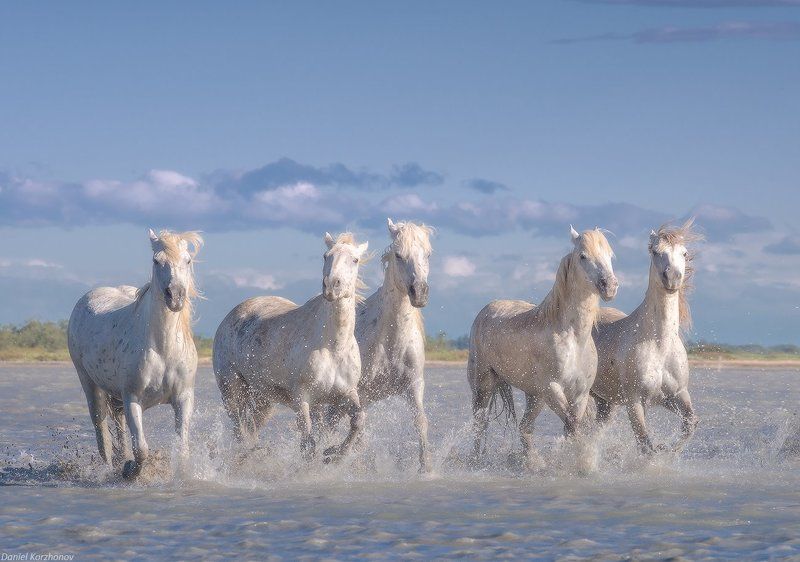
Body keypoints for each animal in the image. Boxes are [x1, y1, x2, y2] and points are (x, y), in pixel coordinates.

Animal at [68, 229, 203, 479]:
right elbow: (141, 449)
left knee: (118, 426)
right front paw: (131, 471)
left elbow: (182, 447)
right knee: (102, 434)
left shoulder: (183, 397)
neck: (163, 348)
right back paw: (112, 467)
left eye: (188, 260)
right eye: (156, 260)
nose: (175, 296)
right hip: (90, 384)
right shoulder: (133, 398)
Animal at [213, 232, 369, 464]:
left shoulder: (346, 393)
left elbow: (358, 419)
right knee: (240, 431)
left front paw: (334, 454)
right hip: (231, 391)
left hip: (262, 397)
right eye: (326, 256)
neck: (332, 346)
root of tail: (230, 316)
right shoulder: (301, 398)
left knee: (251, 428)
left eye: (355, 260)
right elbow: (308, 445)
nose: (331, 286)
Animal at [468, 226, 618, 470]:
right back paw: (476, 460)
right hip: (484, 385)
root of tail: (486, 310)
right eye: (583, 256)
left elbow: (572, 427)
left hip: (534, 396)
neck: (573, 339)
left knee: (524, 428)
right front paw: (581, 462)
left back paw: (532, 462)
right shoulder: (552, 389)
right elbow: (572, 426)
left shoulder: (580, 394)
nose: (610, 286)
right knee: (480, 425)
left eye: (610, 255)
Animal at [592, 219, 702, 454]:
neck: (659, 344)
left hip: (605, 403)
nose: (672, 278)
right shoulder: (635, 402)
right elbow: (645, 445)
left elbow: (690, 424)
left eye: (685, 253)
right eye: (654, 251)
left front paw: (668, 450)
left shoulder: (676, 395)